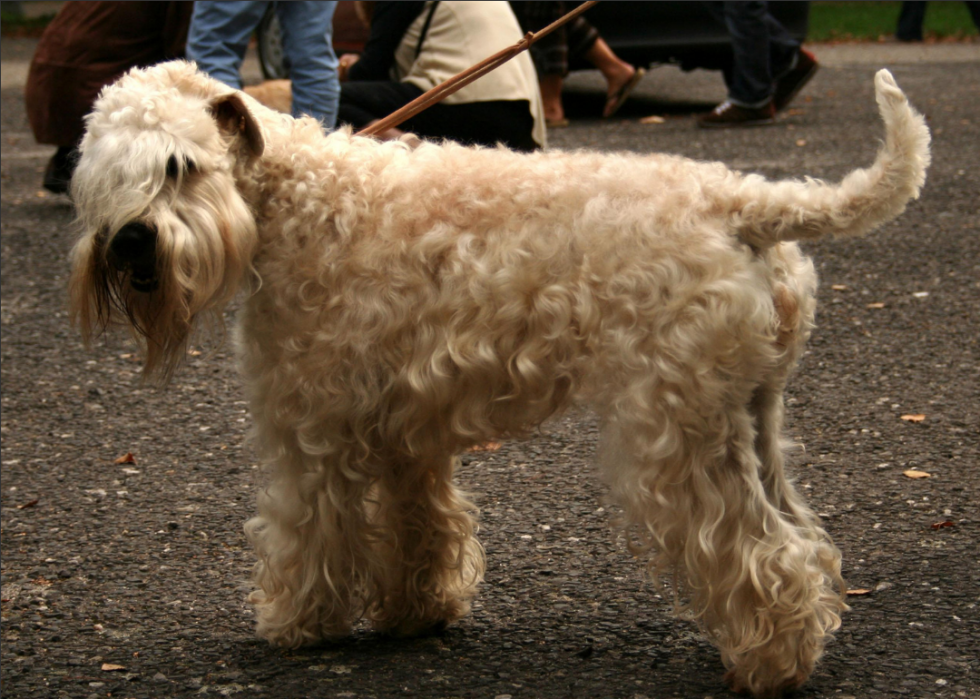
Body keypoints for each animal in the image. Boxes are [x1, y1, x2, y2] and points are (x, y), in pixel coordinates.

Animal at [69, 63, 928, 696]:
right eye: (102, 175)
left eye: (180, 165)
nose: (131, 241)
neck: (298, 201)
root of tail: (742, 201)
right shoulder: (402, 427)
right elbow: (421, 522)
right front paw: (417, 610)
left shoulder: (308, 426)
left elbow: (308, 528)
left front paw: (296, 619)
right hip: (754, 413)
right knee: (802, 536)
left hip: (679, 432)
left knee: (755, 549)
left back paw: (770, 665)